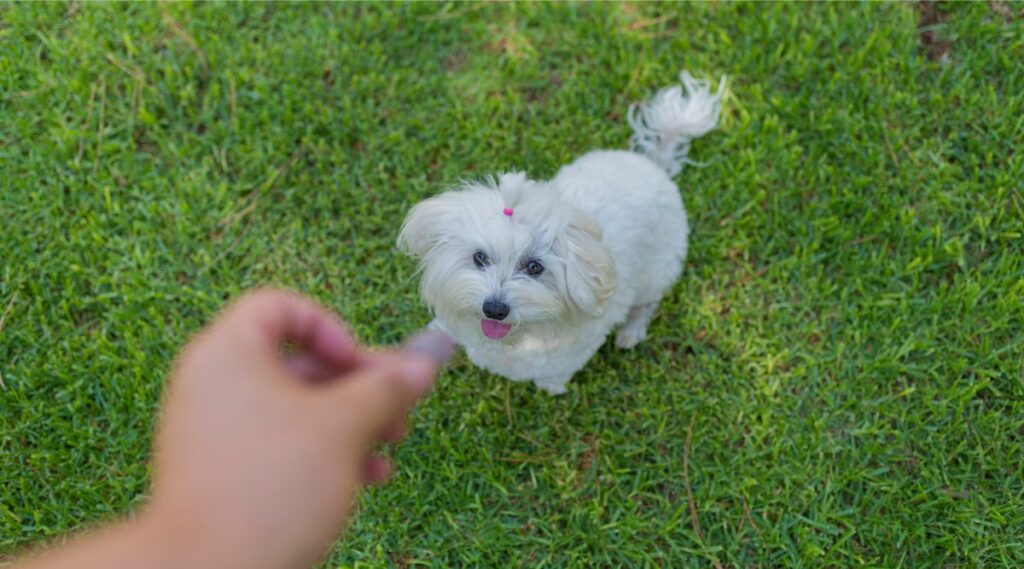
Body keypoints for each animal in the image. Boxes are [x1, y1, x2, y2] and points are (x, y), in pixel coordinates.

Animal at [395, 72, 724, 395]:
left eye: (535, 267)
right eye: (480, 258)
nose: (494, 309)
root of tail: (654, 165)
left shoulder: (571, 353)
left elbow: (554, 375)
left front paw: (551, 388)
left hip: (657, 271)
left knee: (648, 303)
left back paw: (631, 332)